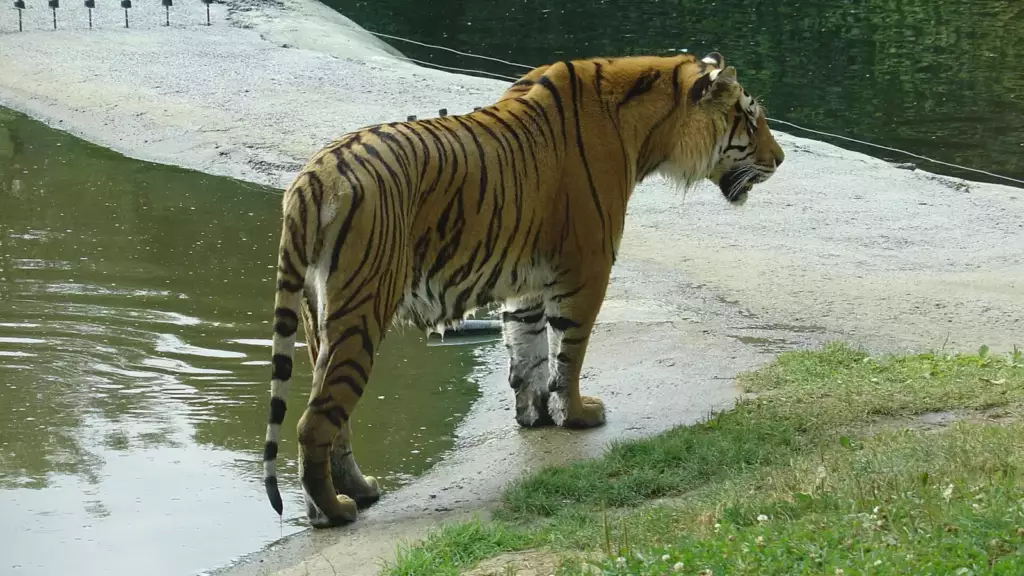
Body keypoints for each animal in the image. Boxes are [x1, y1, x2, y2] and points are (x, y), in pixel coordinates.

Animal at [261, 51, 785, 529]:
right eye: (751, 117)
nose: (780, 160)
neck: (650, 128)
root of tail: (312, 178)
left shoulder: (528, 280)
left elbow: (528, 349)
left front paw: (534, 416)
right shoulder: (588, 268)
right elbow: (568, 352)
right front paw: (577, 414)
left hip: (319, 319)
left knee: (333, 420)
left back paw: (357, 492)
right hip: (362, 311)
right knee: (314, 423)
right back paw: (333, 512)